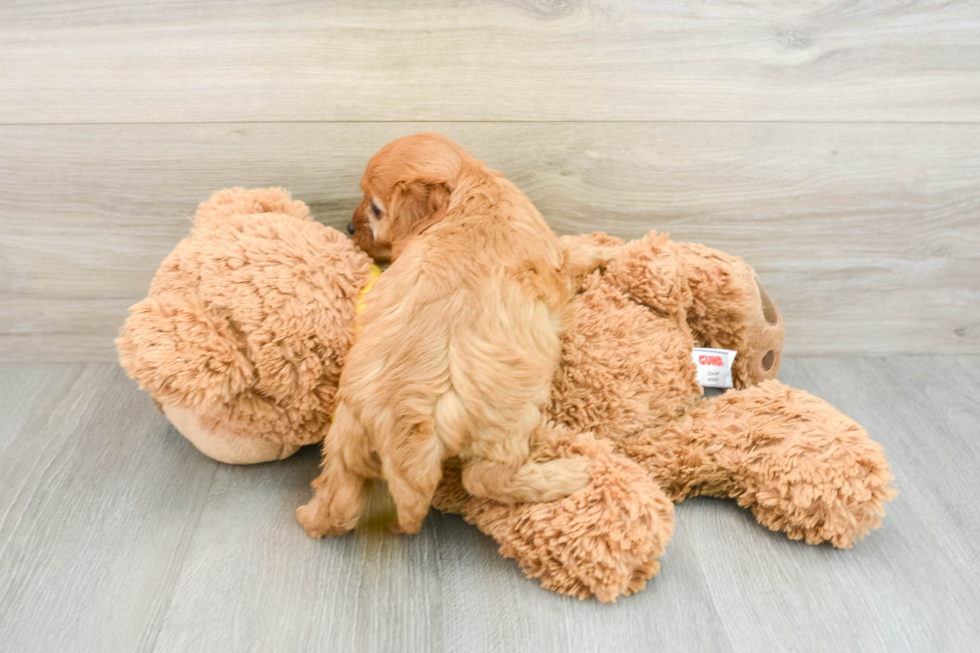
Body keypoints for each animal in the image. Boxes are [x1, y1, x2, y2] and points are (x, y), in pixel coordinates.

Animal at [298, 132, 616, 536]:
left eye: (375, 210)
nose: (350, 229)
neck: (469, 187)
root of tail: (395, 423)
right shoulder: (554, 260)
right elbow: (573, 255)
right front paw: (607, 251)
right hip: (507, 419)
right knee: (485, 479)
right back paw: (572, 473)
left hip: (343, 435)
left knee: (338, 499)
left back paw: (311, 517)